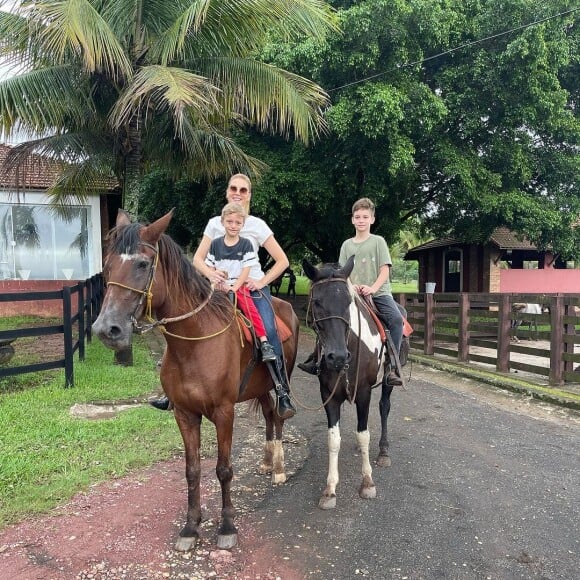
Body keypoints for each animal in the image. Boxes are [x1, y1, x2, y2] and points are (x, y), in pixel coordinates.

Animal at [92, 211, 300, 552]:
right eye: (108, 264)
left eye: (142, 264)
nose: (107, 329)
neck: (194, 342)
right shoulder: (184, 413)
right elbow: (192, 471)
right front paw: (191, 527)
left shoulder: (224, 412)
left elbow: (224, 469)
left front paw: (227, 526)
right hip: (258, 388)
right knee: (270, 415)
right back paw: (268, 461)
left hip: (279, 381)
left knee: (280, 416)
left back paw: (279, 468)